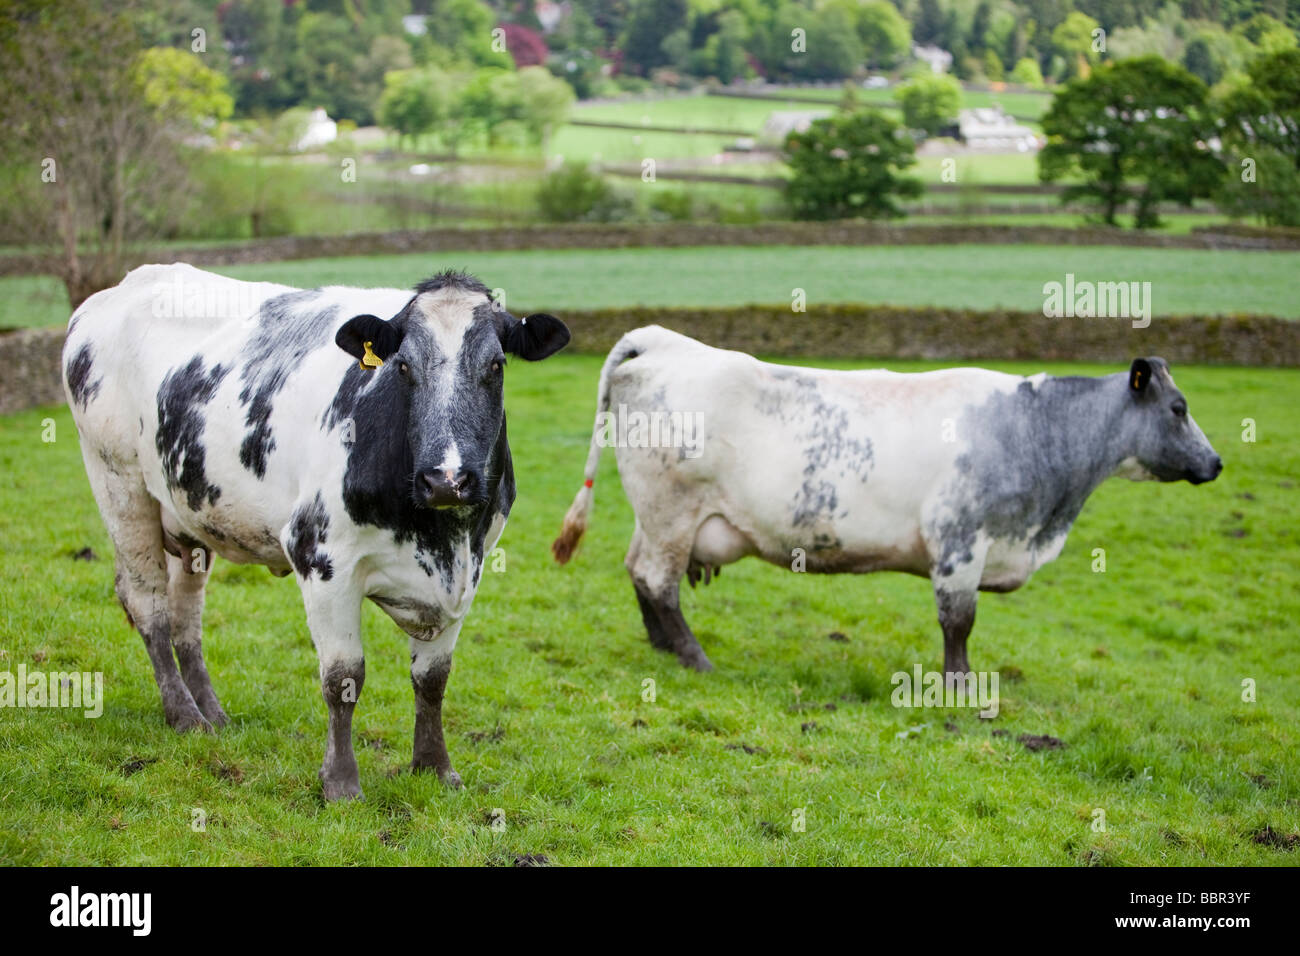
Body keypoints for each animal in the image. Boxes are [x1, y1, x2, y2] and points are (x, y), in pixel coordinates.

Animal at [62, 261, 569, 801]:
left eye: (496, 365)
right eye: (403, 367)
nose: (446, 479)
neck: (439, 538)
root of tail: (123, 286)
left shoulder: (469, 569)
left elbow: (432, 680)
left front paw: (435, 767)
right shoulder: (322, 558)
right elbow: (343, 678)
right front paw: (341, 782)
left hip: (191, 514)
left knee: (186, 614)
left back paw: (212, 713)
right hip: (118, 484)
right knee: (149, 606)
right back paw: (183, 715)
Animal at [553, 327, 1222, 671]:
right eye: (1178, 408)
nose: (1215, 463)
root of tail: (664, 340)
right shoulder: (959, 543)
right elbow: (959, 622)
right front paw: (960, 689)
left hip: (659, 515)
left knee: (640, 574)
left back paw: (664, 647)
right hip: (670, 511)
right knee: (656, 578)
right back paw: (694, 658)